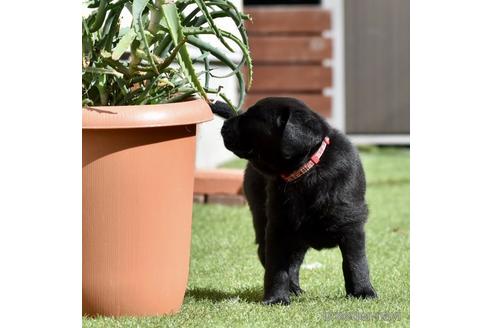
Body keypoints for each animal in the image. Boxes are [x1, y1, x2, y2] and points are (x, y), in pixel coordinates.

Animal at [210, 96, 376, 304]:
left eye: (252, 117)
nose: (224, 126)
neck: (308, 172)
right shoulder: (278, 226)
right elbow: (277, 267)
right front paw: (276, 298)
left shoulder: (351, 224)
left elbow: (355, 262)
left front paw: (363, 291)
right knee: (270, 255)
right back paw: (292, 289)